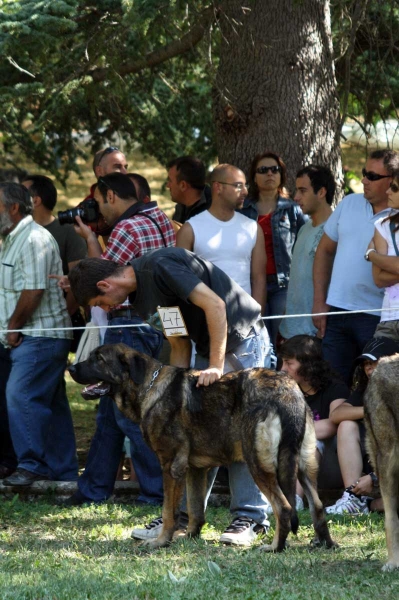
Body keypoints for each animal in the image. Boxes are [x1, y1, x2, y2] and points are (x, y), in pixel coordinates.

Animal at [69, 344, 338, 552]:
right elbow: (195, 510)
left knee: (284, 508)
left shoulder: (171, 467)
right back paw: (325, 543)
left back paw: (275, 547)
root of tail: (288, 392)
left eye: (98, 359)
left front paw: (161, 541)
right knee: (317, 506)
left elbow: (169, 512)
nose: (71, 369)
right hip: (302, 465)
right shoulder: (195, 470)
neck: (148, 386)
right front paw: (190, 537)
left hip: (259, 464)